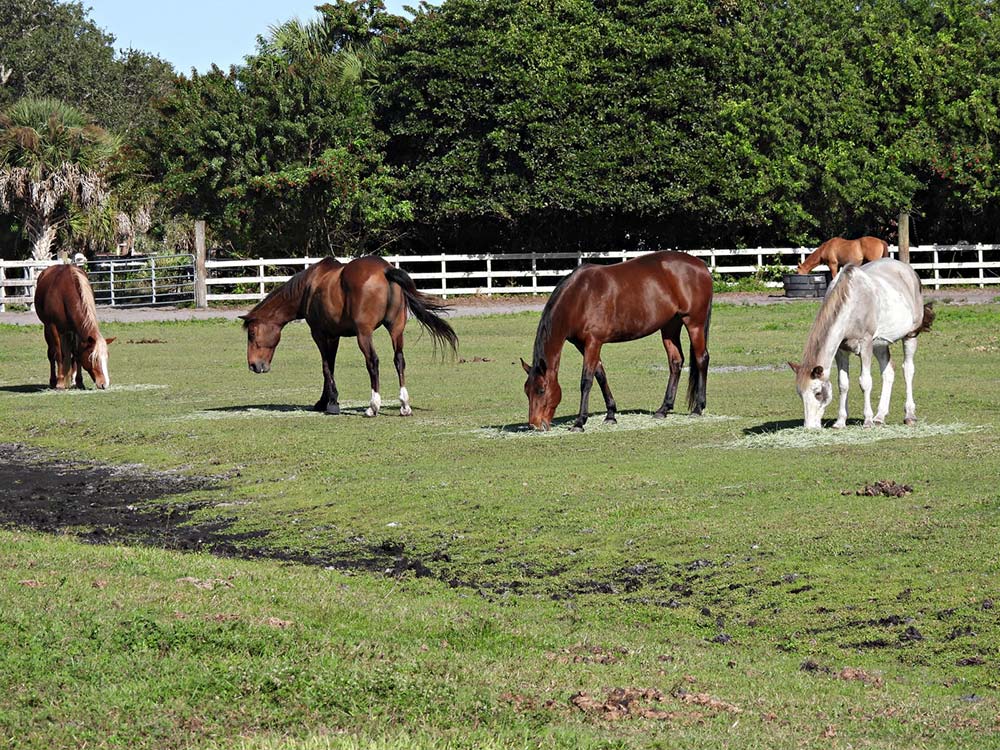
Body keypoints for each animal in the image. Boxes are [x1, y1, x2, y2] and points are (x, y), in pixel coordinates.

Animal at [240, 256, 458, 417]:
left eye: (251, 333)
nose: (253, 365)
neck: (309, 288)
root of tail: (385, 270)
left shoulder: (320, 335)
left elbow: (326, 367)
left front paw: (332, 403)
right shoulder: (334, 336)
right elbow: (331, 366)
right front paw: (325, 401)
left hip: (364, 334)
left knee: (373, 362)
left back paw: (373, 406)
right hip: (396, 329)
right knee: (399, 360)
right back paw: (404, 405)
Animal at [521, 251, 713, 432]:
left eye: (541, 390)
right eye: (526, 391)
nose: (534, 425)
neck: (579, 297)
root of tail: (701, 264)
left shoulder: (593, 342)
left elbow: (586, 380)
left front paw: (580, 422)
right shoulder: (583, 345)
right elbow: (600, 375)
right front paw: (611, 415)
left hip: (694, 323)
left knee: (701, 358)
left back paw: (698, 408)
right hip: (670, 326)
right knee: (675, 362)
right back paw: (663, 409)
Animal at [788, 259, 934, 429]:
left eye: (817, 393)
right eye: (800, 394)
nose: (810, 426)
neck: (852, 303)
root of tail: (908, 270)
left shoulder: (865, 345)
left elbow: (865, 382)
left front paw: (868, 420)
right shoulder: (841, 350)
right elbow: (843, 384)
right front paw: (840, 422)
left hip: (909, 336)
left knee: (908, 370)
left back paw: (909, 415)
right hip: (880, 344)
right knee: (888, 372)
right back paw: (880, 416)